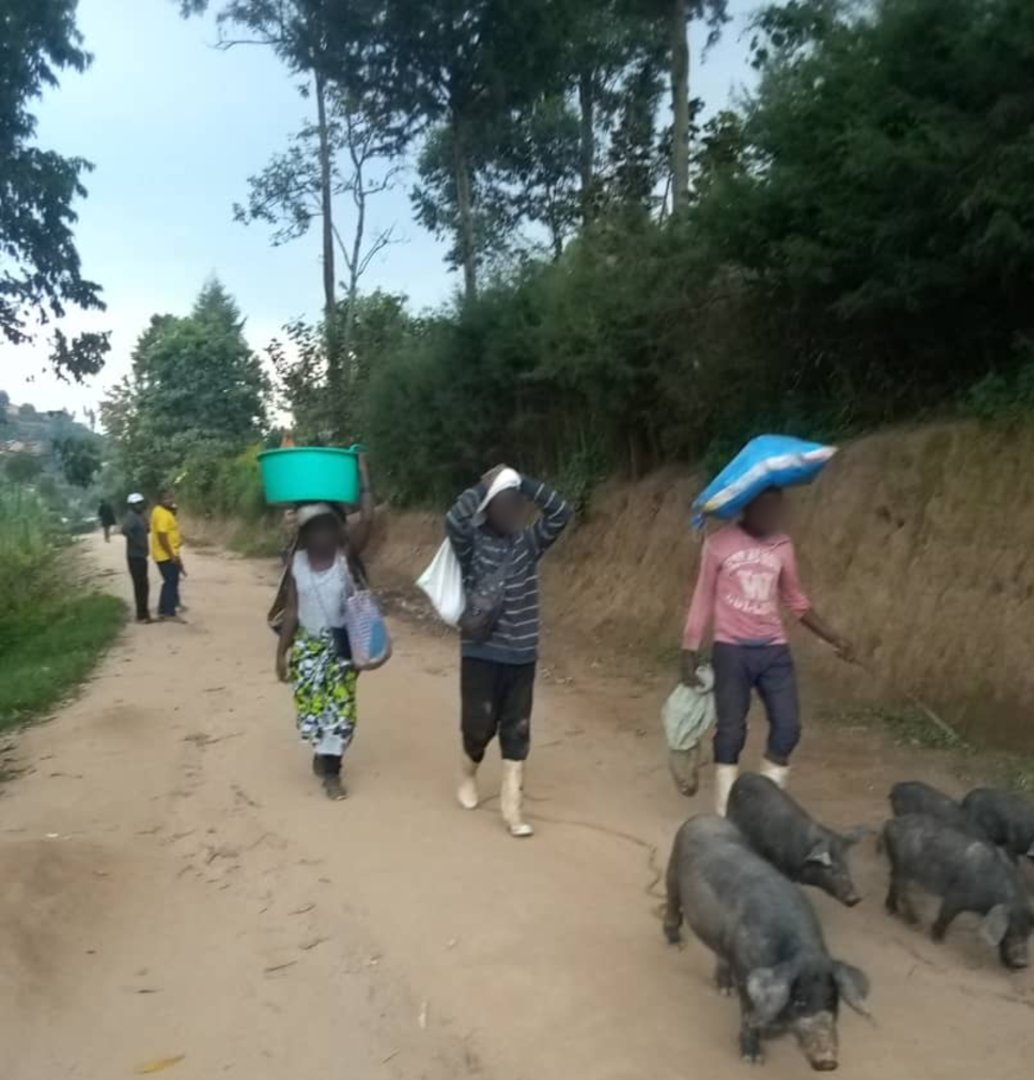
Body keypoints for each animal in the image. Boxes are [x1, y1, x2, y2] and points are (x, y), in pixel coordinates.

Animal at [665, 812, 868, 1067]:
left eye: (832, 1000)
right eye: (799, 1001)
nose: (828, 1061)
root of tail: (703, 816)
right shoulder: (745, 973)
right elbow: (748, 1013)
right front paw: (753, 1059)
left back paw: (724, 990)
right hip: (672, 871)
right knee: (672, 905)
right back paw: (675, 944)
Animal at [881, 812, 1032, 967]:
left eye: (1027, 933)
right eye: (1012, 930)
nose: (1022, 963)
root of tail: (891, 822)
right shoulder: (956, 896)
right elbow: (946, 916)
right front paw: (938, 940)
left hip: (897, 865)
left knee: (893, 882)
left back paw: (892, 910)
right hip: (905, 868)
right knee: (903, 890)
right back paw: (914, 923)